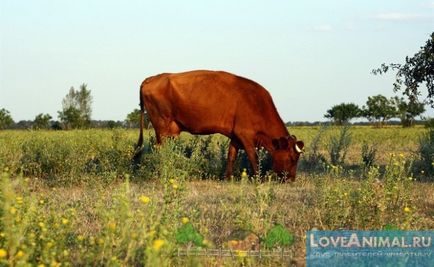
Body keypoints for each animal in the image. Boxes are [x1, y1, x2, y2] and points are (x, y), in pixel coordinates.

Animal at [134, 70, 304, 181]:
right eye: (291, 158)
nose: (291, 179)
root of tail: (151, 78)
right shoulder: (246, 135)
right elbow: (254, 157)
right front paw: (258, 178)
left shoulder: (236, 136)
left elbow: (231, 156)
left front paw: (227, 178)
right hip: (162, 126)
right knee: (160, 150)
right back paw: (163, 173)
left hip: (170, 131)